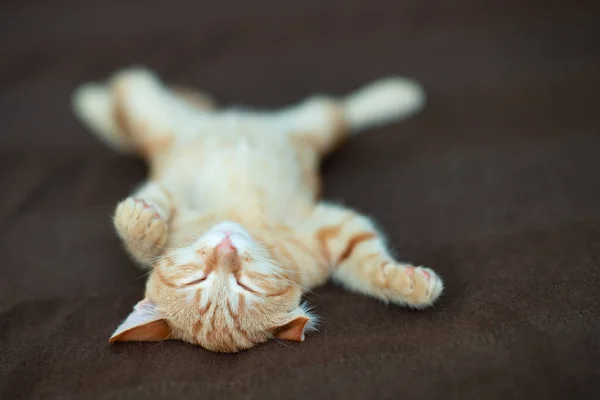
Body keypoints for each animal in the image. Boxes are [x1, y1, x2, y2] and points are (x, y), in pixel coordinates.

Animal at [72, 68, 442, 354]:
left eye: (245, 285)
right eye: (199, 278)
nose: (226, 249)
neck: (244, 222)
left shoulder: (331, 227)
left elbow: (369, 264)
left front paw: (404, 283)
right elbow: (143, 235)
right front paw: (142, 223)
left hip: (311, 125)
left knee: (341, 110)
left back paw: (397, 94)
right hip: (154, 116)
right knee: (127, 94)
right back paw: (93, 98)